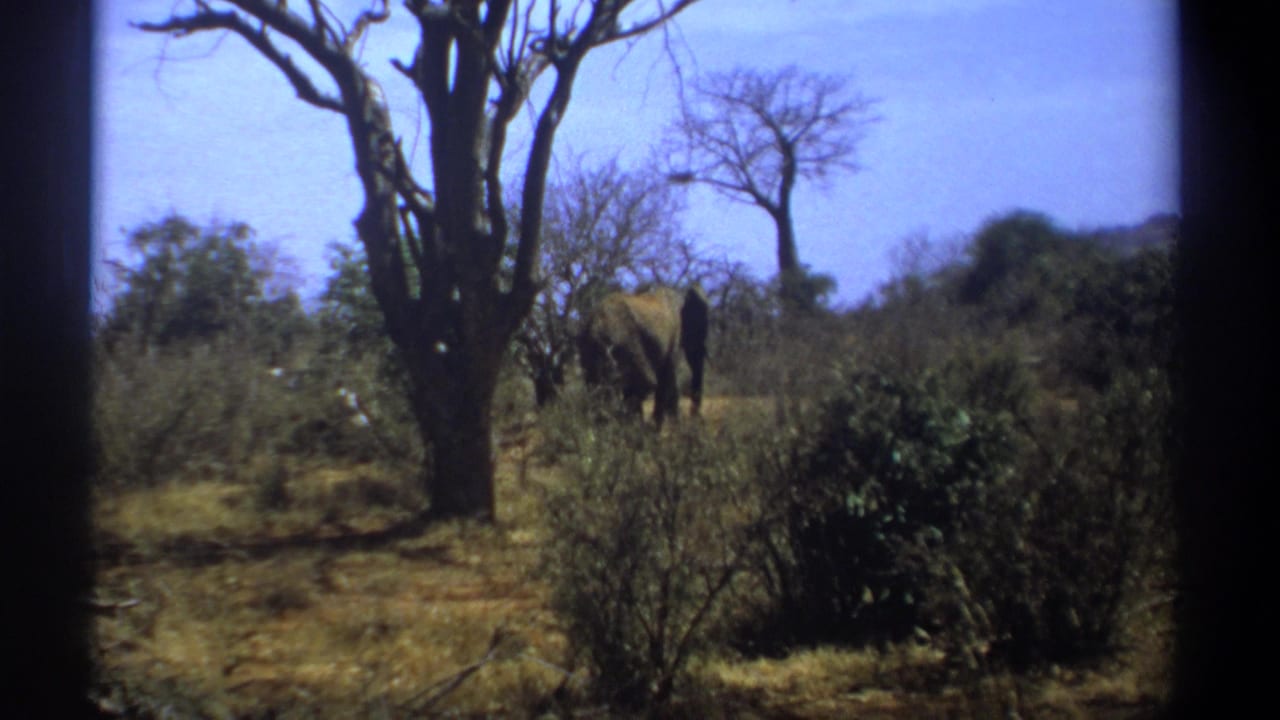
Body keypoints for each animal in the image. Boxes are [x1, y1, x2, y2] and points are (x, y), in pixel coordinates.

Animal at [578, 286, 709, 425]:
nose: (697, 419)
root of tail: (595, 326)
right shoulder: (676, 332)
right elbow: (669, 376)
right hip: (625, 341)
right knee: (642, 382)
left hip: (590, 350)